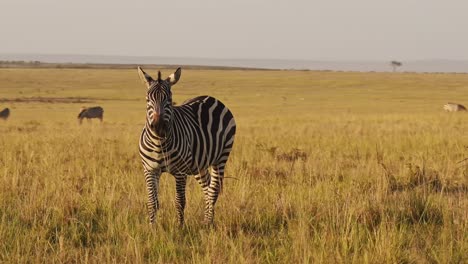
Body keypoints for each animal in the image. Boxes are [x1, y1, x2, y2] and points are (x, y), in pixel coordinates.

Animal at [137, 66, 236, 225]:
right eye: (148, 99)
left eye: (169, 100)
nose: (158, 127)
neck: (159, 144)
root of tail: (210, 98)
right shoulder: (150, 170)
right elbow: (152, 202)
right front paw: (152, 227)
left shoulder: (180, 172)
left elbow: (180, 201)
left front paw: (180, 227)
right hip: (199, 165)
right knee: (207, 188)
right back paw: (206, 221)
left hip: (221, 157)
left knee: (213, 190)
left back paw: (208, 223)